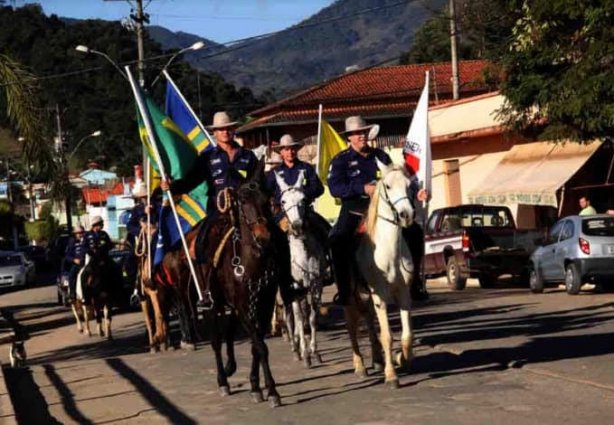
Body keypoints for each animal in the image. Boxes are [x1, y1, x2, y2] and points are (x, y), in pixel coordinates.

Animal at [276, 171, 330, 366]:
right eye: (283, 201)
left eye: (304, 199)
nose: (298, 226)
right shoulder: (294, 287)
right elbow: (298, 317)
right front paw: (305, 353)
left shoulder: (316, 284)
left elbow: (312, 317)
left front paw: (314, 351)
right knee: (288, 314)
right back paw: (294, 345)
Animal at [346, 160, 418, 388]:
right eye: (387, 186)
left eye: (409, 185)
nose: (406, 215)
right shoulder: (381, 297)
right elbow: (387, 335)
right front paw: (391, 375)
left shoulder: (404, 293)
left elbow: (407, 334)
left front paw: (404, 358)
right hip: (352, 298)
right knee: (352, 327)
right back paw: (360, 365)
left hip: (366, 297)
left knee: (368, 321)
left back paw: (377, 360)